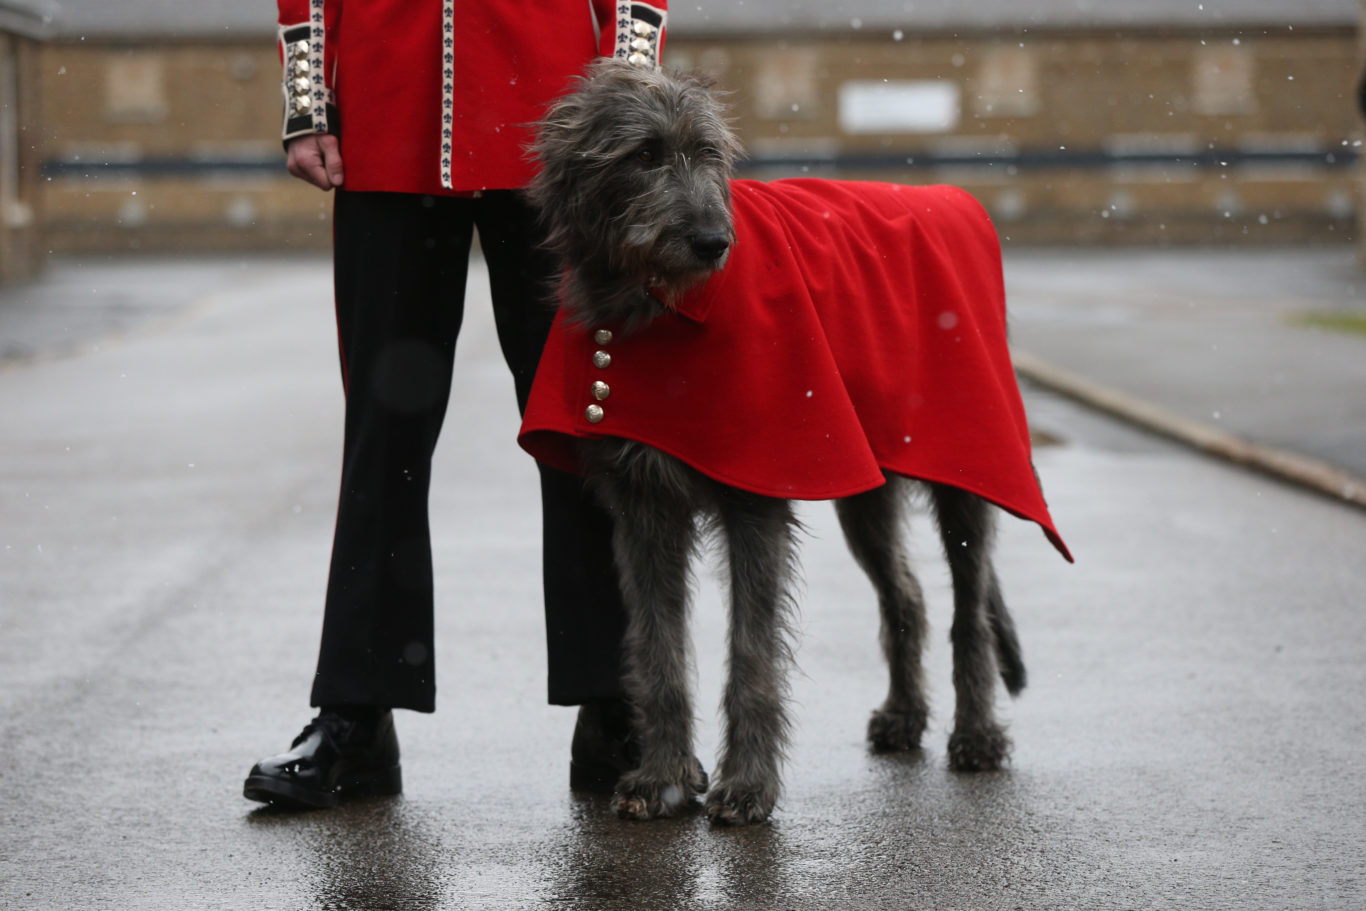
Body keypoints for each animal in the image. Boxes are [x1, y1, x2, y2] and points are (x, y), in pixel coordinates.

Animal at [527, 58, 1021, 824]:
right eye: (645, 155)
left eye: (708, 154)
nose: (713, 242)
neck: (657, 311)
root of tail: (953, 200)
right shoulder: (644, 509)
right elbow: (657, 649)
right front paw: (663, 775)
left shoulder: (755, 496)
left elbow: (752, 655)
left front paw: (748, 785)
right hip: (867, 489)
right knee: (906, 594)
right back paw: (904, 714)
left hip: (964, 468)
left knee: (968, 607)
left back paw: (975, 734)